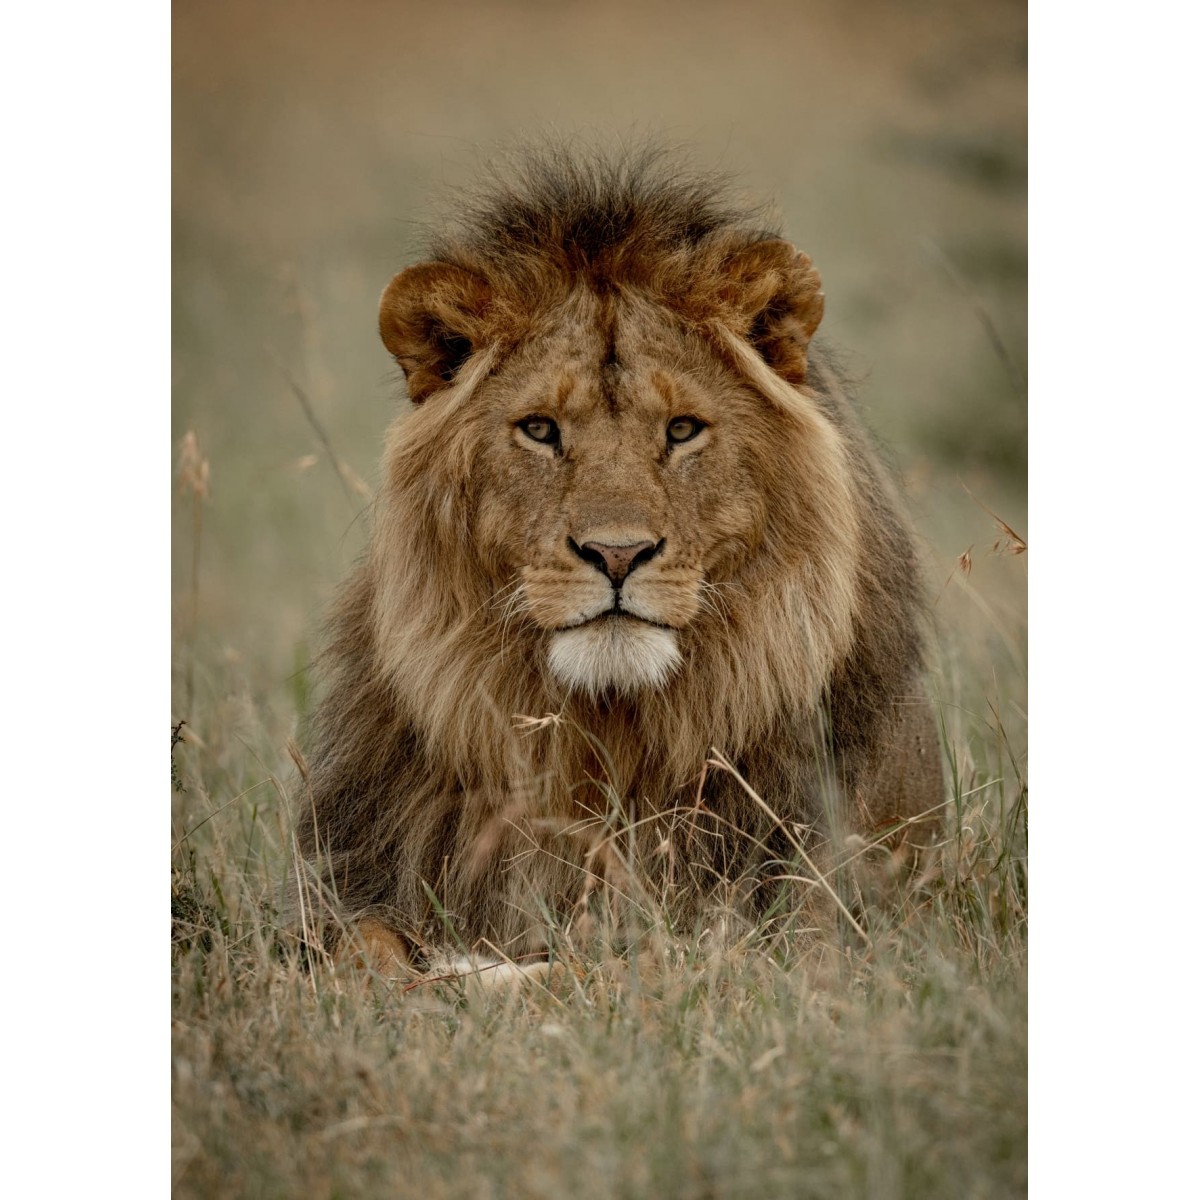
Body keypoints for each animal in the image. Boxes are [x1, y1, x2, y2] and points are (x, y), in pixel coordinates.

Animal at [294, 146, 943, 967]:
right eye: (540, 429)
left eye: (682, 429)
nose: (617, 554)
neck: (609, 745)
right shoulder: (348, 885)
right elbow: (362, 952)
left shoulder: (805, 923)